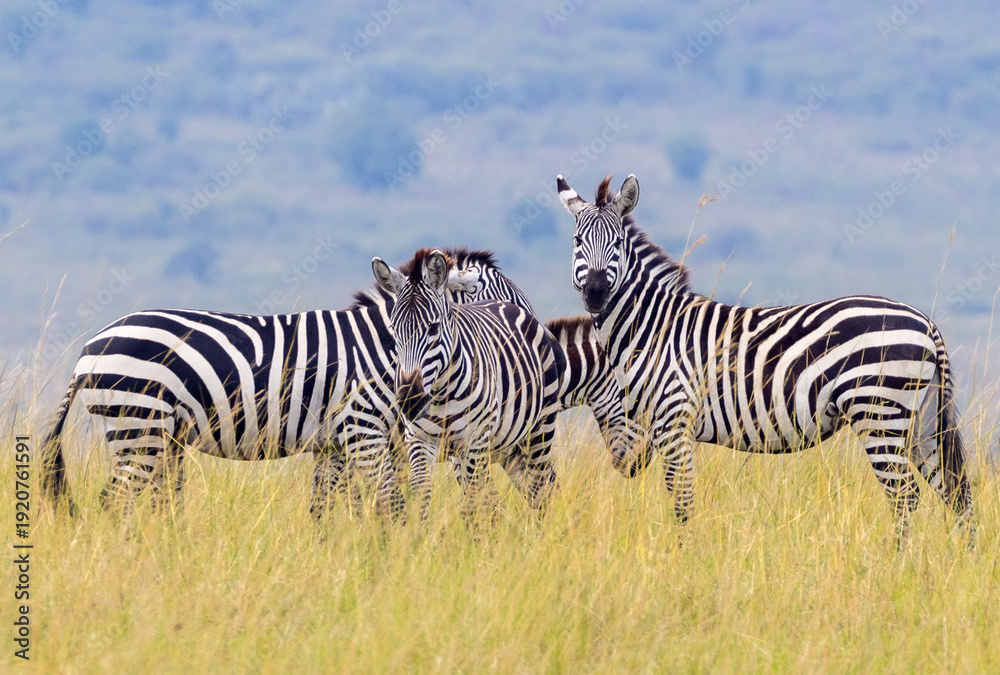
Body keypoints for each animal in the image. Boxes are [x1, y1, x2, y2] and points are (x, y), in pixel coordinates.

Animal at [371, 248, 565, 517]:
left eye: (433, 328)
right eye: (394, 329)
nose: (410, 401)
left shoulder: (475, 440)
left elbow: (474, 498)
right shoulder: (414, 440)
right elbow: (420, 492)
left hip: (537, 432)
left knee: (541, 489)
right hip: (509, 447)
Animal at [557, 173, 974, 545]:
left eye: (616, 243)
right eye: (577, 241)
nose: (596, 293)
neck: (652, 326)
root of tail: (927, 323)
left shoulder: (674, 421)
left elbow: (681, 503)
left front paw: (681, 559)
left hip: (880, 413)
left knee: (905, 496)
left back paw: (898, 564)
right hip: (920, 419)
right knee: (956, 493)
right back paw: (959, 564)